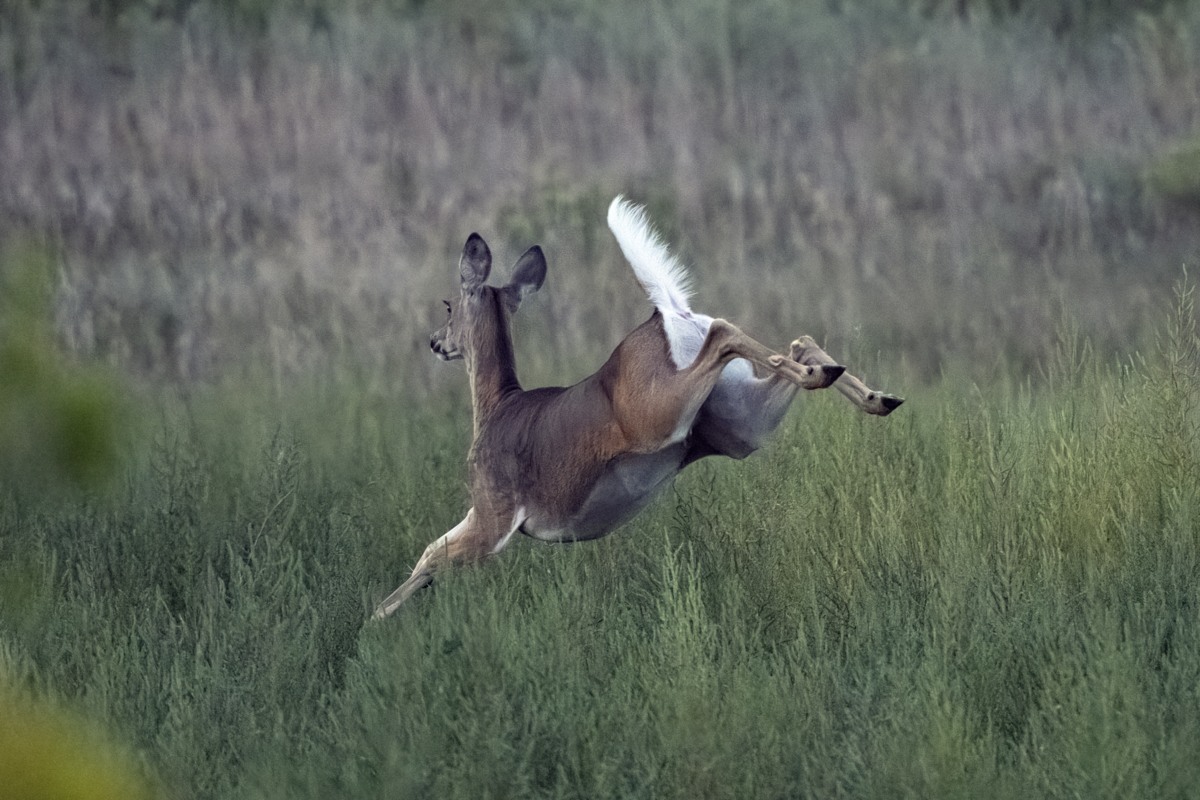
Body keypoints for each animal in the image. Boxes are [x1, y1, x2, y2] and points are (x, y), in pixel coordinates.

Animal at [374, 195, 902, 618]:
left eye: (448, 305)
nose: (435, 342)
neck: (496, 406)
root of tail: (669, 312)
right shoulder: (484, 512)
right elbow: (431, 552)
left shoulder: (494, 511)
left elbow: (431, 555)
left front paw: (374, 620)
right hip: (738, 422)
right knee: (797, 343)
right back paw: (870, 393)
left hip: (656, 414)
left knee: (726, 331)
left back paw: (832, 379)